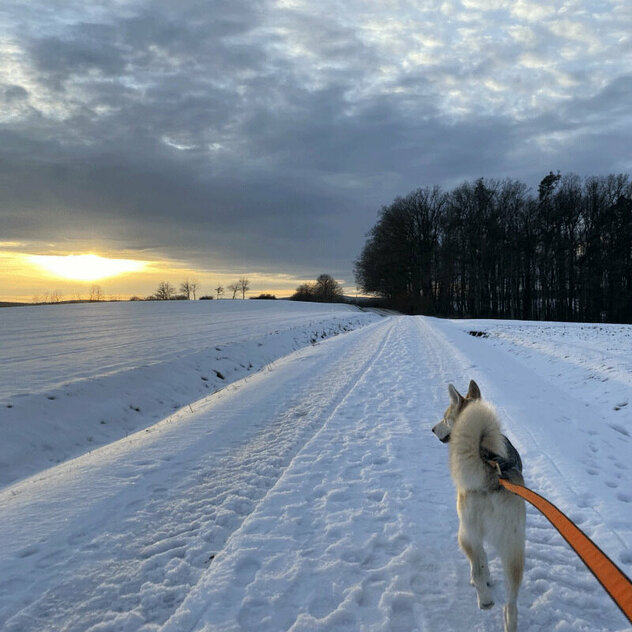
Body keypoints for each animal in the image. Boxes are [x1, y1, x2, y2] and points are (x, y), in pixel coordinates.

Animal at [432, 380, 524, 632]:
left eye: (445, 418)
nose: (432, 429)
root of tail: (492, 478)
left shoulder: (473, 534)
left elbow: (481, 561)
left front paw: (485, 578)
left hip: (465, 533)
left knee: (475, 566)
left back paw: (484, 599)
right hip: (514, 548)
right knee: (512, 601)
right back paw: (509, 620)